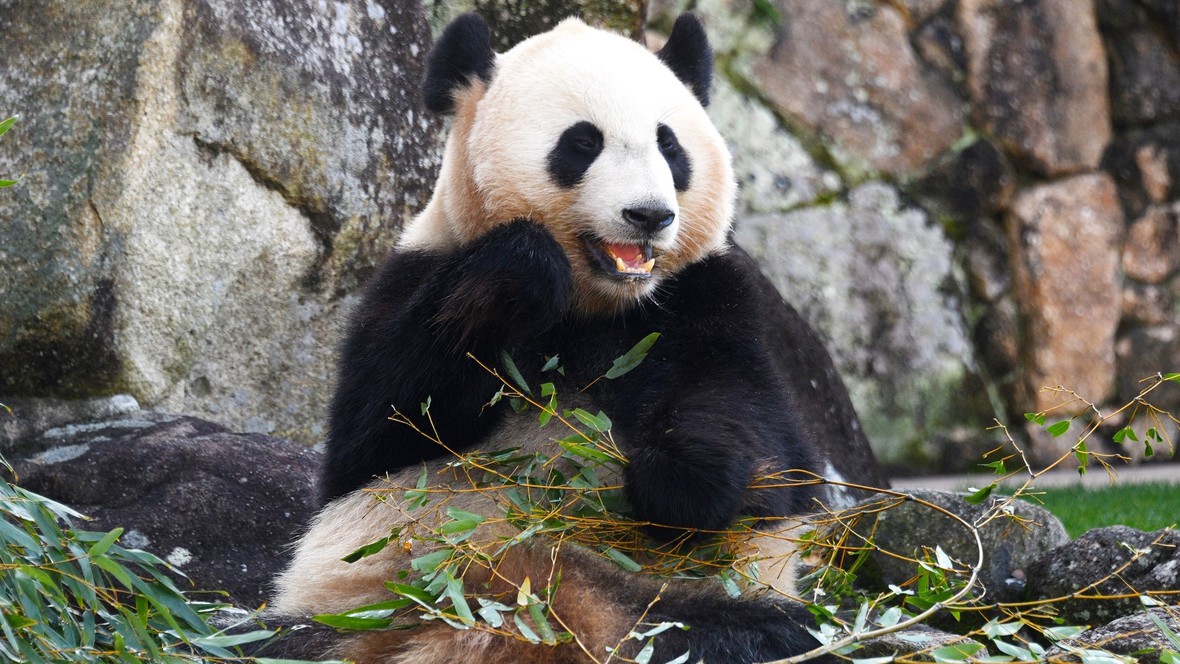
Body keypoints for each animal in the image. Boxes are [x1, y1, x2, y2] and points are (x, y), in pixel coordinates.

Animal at [267, 11, 840, 664]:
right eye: (582, 142)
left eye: (670, 145)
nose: (650, 215)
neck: (596, 305)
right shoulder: (410, 279)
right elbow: (382, 432)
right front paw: (524, 265)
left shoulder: (707, 300)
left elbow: (752, 432)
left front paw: (680, 483)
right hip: (360, 610)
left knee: (764, 632)